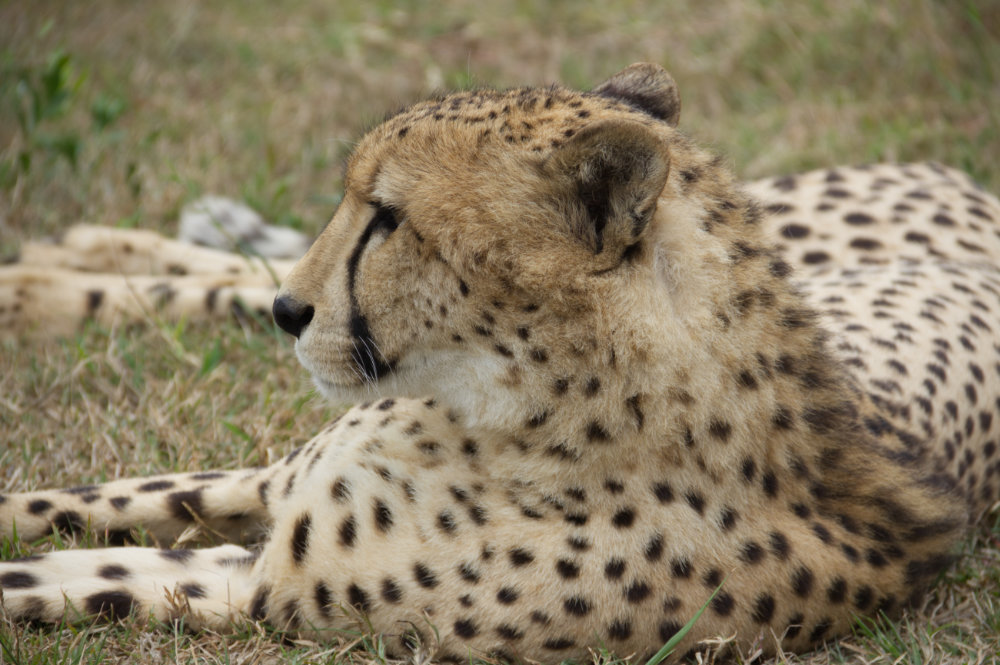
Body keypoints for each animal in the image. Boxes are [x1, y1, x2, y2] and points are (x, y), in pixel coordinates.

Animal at [2, 62, 999, 663]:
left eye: (388, 218)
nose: (297, 311)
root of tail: (972, 189)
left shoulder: (264, 581)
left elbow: (56, 575)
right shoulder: (266, 484)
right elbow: (58, 504)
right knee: (235, 271)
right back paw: (85, 259)